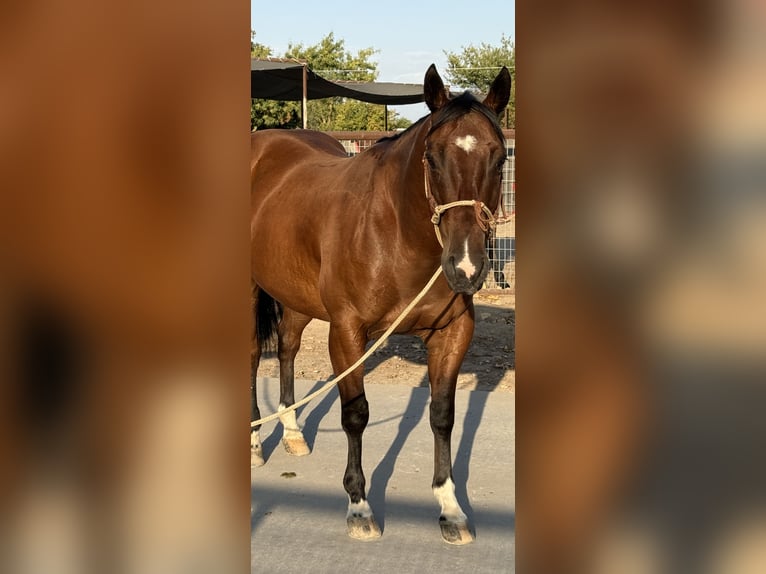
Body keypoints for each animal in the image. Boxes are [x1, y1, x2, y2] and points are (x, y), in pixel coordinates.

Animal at [250, 64, 511, 545]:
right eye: (432, 157)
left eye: (500, 158)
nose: (465, 267)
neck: (394, 233)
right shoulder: (346, 331)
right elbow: (356, 414)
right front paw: (359, 506)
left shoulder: (452, 333)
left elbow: (442, 414)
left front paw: (450, 507)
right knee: (250, 359)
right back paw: (256, 444)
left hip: (295, 294)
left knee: (288, 347)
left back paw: (293, 433)